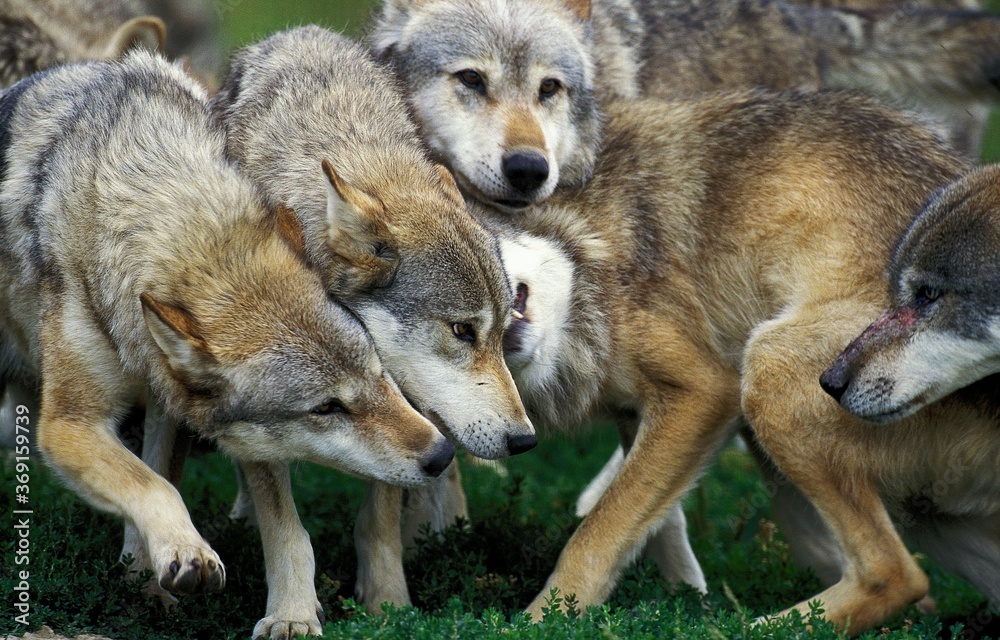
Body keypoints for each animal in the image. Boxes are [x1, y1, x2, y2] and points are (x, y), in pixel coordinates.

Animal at [0, 51, 453, 638]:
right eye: (326, 408)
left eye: (381, 373)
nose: (442, 453)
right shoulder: (67, 424)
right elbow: (153, 486)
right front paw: (186, 555)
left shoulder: (168, 411)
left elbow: (156, 478)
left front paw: (147, 586)